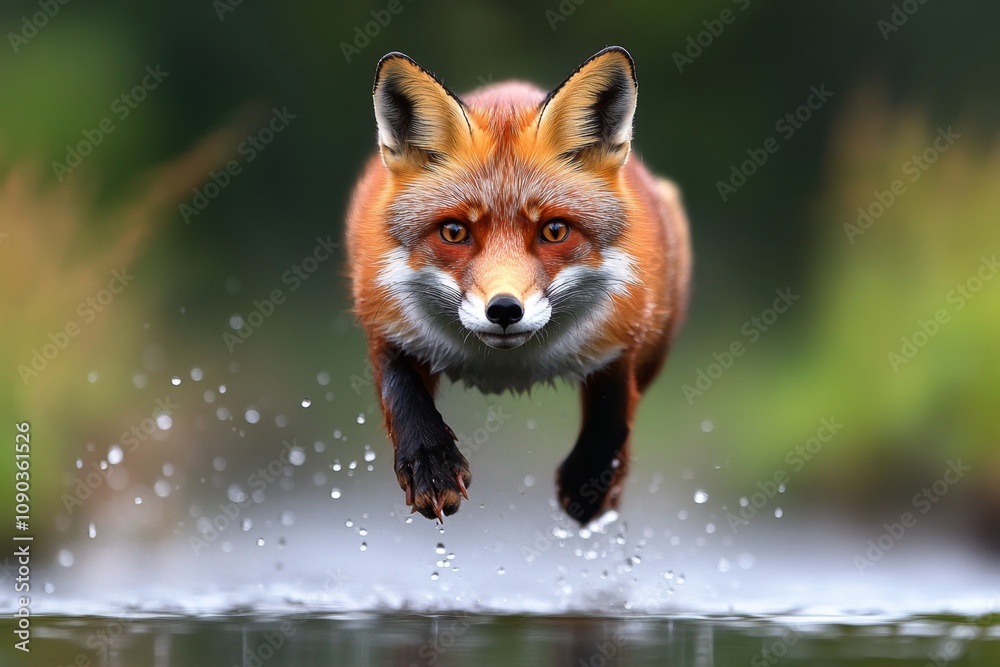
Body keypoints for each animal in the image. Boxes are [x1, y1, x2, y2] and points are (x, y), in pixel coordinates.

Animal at [346, 46, 691, 525]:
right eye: (454, 232)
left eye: (554, 231)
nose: (505, 310)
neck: (505, 367)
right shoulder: (385, 315)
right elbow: (401, 392)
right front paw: (431, 466)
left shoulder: (625, 330)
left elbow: (612, 409)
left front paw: (589, 482)